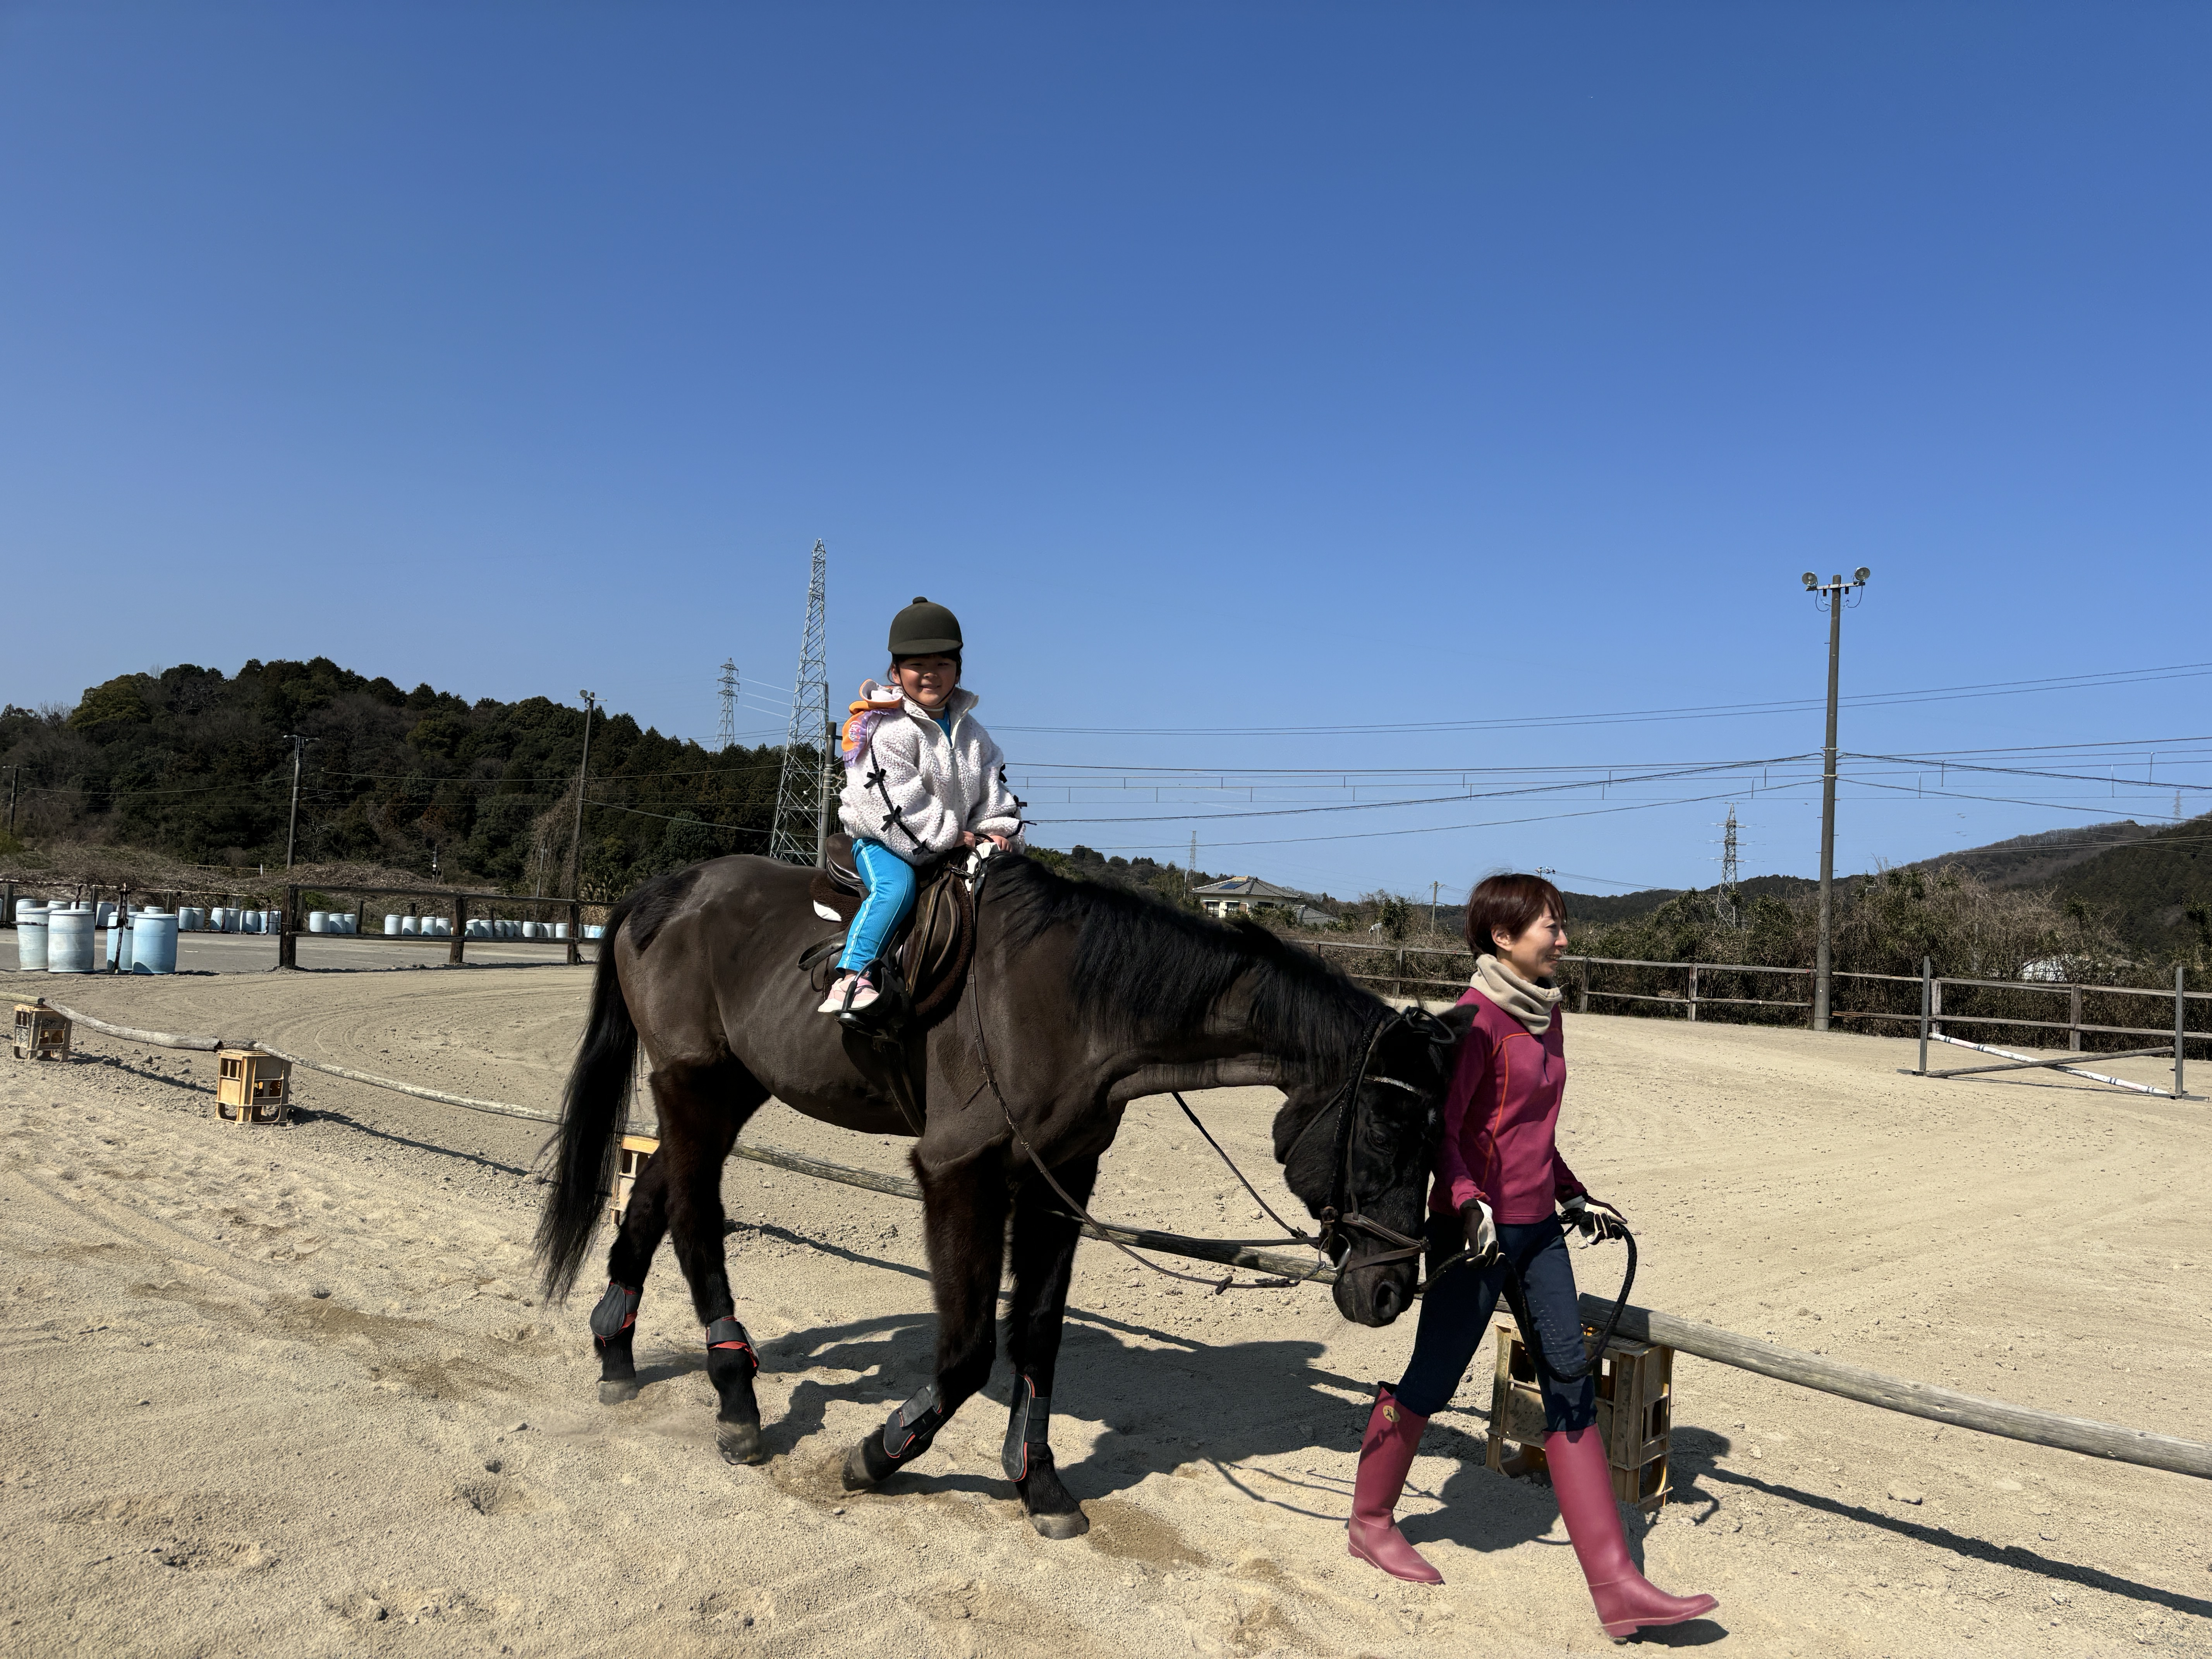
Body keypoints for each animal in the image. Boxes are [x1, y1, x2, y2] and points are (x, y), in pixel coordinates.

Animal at [533, 849, 1468, 1539]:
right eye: (1386, 1126)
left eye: (1439, 1136)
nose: (1392, 1289)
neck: (1079, 1006)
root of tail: (667, 890)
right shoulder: (959, 1170)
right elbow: (969, 1349)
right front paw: (879, 1453)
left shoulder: (1063, 1176)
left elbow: (1039, 1336)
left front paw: (1039, 1482)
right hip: (693, 1083)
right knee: (694, 1215)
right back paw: (735, 1397)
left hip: (730, 1088)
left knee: (653, 1197)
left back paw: (616, 1352)